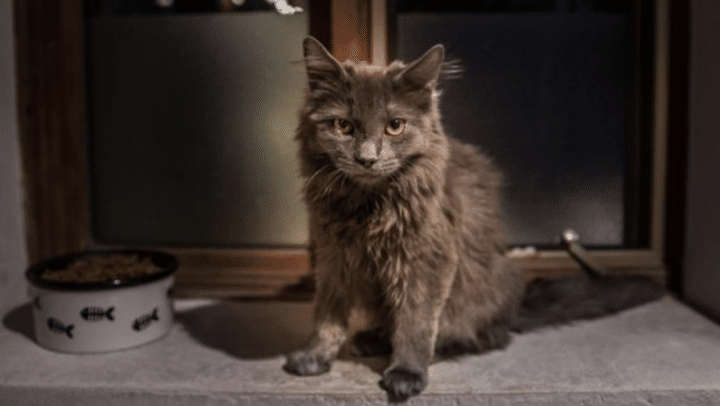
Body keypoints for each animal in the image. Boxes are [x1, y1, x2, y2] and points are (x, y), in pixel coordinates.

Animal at [283, 36, 664, 401]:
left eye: (395, 126)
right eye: (343, 126)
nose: (367, 159)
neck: (368, 205)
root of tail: (513, 308)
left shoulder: (428, 258)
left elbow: (415, 320)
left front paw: (407, 372)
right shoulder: (334, 256)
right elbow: (328, 314)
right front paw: (315, 357)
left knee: (481, 337)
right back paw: (372, 338)